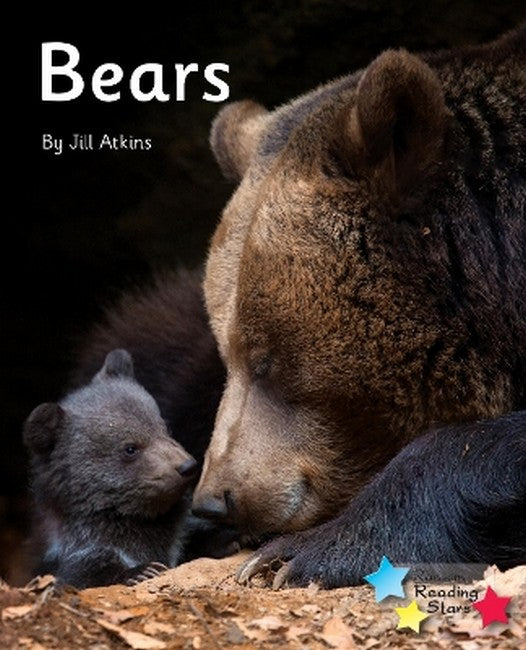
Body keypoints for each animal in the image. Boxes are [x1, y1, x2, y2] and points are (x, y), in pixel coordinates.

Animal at [24, 349, 199, 589]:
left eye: (164, 427)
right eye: (130, 448)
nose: (187, 466)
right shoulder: (86, 548)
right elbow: (85, 572)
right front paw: (142, 571)